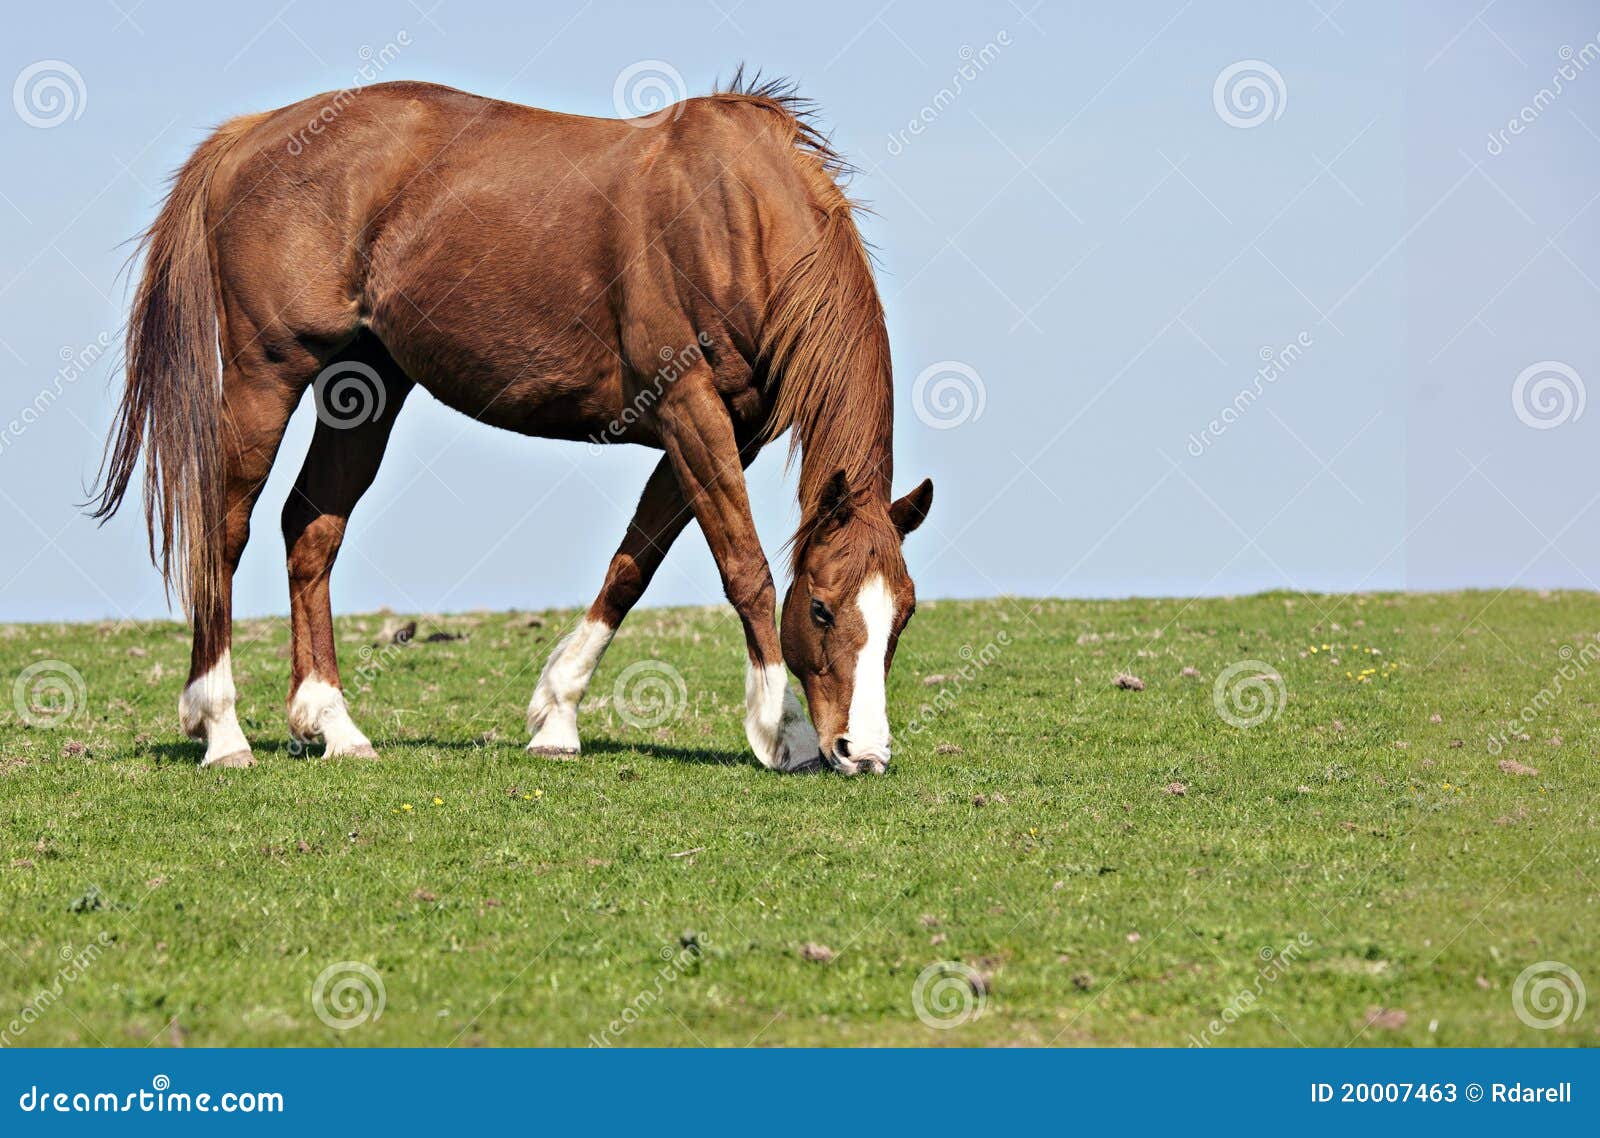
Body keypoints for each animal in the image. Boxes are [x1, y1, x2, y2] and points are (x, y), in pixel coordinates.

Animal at [92, 72, 933, 777]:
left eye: (904, 615)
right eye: (820, 608)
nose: (861, 752)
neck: (732, 216)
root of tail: (251, 134)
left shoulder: (723, 430)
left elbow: (632, 567)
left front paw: (557, 715)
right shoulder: (689, 412)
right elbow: (746, 568)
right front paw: (783, 730)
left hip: (365, 384)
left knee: (311, 528)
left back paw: (333, 726)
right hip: (266, 375)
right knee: (222, 531)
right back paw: (221, 730)